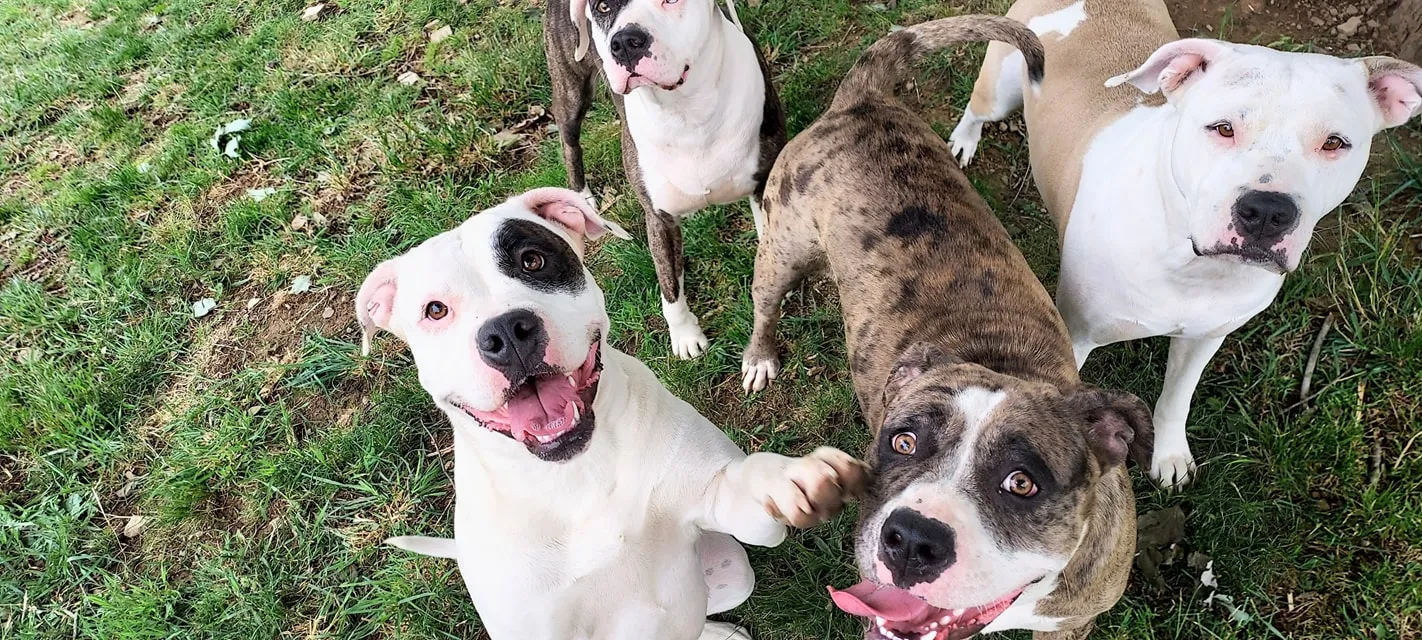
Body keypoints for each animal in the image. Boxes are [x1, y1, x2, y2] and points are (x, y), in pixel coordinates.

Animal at [355, 186, 864, 640]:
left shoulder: (733, 508)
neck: (575, 473)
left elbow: (749, 484)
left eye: (532, 261)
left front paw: (791, 477)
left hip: (736, 572)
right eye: (435, 310)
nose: (506, 332)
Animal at [944, 0, 1422, 489]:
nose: (1267, 211)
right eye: (1223, 128)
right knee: (978, 108)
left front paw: (1169, 454)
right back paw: (962, 143)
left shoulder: (1206, 338)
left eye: (1335, 143)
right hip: (1002, 86)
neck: (1191, 265)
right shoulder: (1073, 337)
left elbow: (1178, 397)